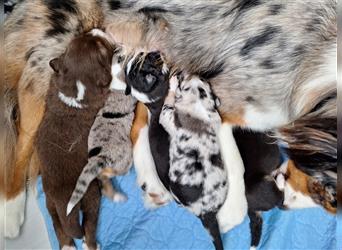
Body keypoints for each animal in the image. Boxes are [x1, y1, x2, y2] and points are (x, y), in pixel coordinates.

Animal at [36, 31, 114, 250]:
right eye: (101, 48)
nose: (96, 30)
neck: (75, 88)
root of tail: (64, 201)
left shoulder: (54, 81)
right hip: (91, 194)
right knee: (89, 224)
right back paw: (91, 244)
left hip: (49, 201)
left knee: (59, 225)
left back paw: (68, 245)